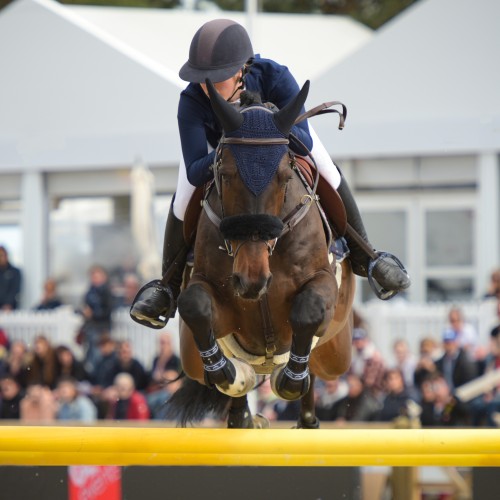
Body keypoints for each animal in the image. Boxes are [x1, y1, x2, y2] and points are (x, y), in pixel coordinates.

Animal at [168, 80, 356, 428]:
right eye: (225, 175)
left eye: (284, 177)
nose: (251, 279)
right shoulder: (218, 301)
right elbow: (195, 305)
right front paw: (226, 374)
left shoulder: (322, 284)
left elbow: (308, 310)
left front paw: (291, 380)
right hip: (189, 357)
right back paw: (241, 410)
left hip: (337, 353)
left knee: (316, 367)